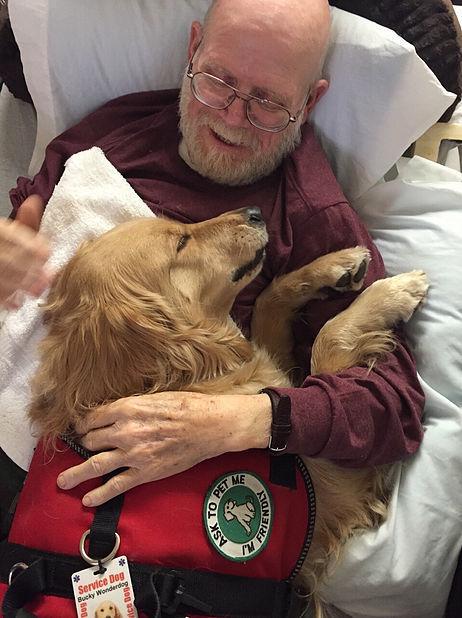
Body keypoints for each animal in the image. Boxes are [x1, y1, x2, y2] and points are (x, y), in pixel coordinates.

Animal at [28, 206, 426, 612]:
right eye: (181, 242)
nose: (254, 212)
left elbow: (268, 300)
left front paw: (337, 266)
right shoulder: (334, 486)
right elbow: (327, 339)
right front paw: (394, 292)